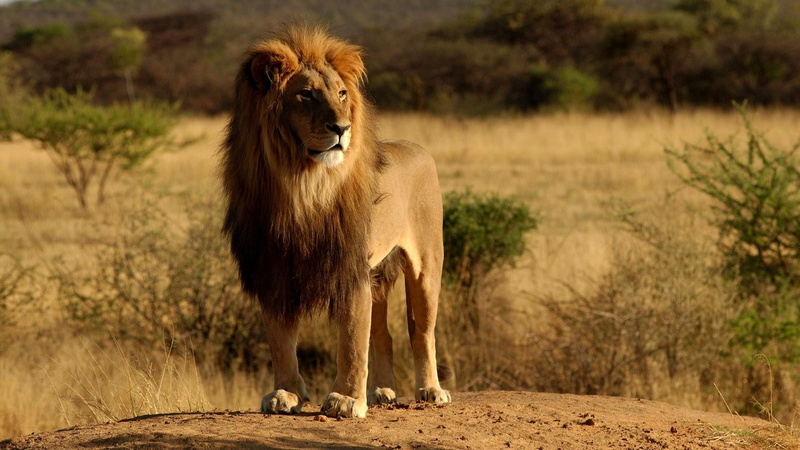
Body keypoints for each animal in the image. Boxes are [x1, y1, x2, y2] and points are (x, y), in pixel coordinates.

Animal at [220, 25, 451, 419]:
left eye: (342, 94)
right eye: (306, 94)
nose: (342, 128)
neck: (302, 185)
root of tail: (417, 147)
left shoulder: (349, 267)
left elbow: (352, 340)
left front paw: (345, 400)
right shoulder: (274, 269)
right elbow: (281, 340)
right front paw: (286, 394)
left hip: (426, 265)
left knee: (421, 331)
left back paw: (430, 390)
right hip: (378, 275)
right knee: (384, 334)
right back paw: (382, 392)